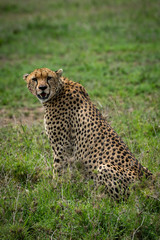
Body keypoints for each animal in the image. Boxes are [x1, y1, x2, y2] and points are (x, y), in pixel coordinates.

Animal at [23, 68, 152, 201]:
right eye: (34, 79)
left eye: (49, 77)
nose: (42, 87)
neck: (59, 90)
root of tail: (149, 183)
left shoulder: (61, 147)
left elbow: (58, 170)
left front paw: (54, 189)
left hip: (104, 168)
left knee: (117, 199)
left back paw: (91, 194)